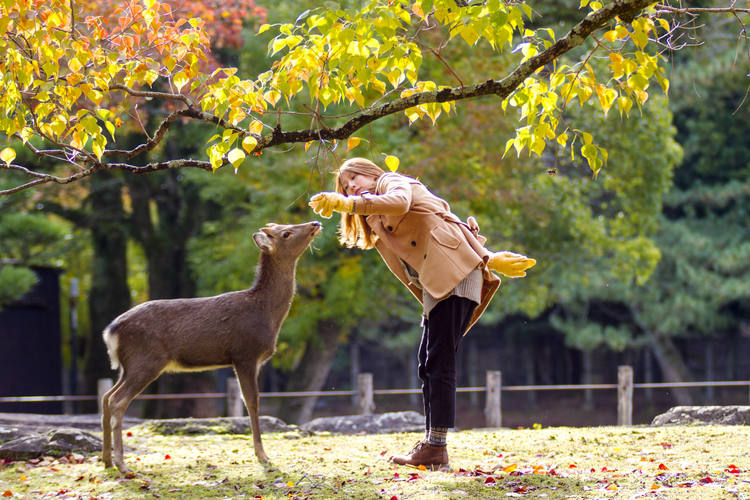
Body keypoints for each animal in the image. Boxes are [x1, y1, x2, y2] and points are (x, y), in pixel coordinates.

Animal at [100, 222, 324, 472]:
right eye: (286, 233)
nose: (315, 223)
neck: (267, 314)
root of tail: (111, 331)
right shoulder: (245, 353)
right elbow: (252, 402)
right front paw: (263, 457)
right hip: (147, 360)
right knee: (117, 401)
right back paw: (122, 464)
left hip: (127, 366)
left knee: (106, 397)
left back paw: (107, 460)